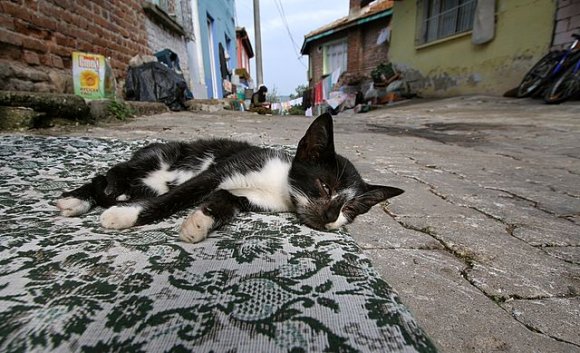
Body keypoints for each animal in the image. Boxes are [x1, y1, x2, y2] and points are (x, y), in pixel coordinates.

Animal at [55, 113, 404, 242]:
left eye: (350, 210)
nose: (332, 216)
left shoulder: (251, 198)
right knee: (115, 173)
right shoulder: (221, 170)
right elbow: (176, 197)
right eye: (323, 186)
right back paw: (78, 199)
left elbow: (226, 198)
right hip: (160, 154)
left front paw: (200, 222)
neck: (278, 184)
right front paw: (125, 216)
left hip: (148, 182)